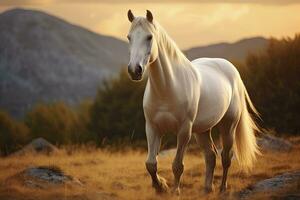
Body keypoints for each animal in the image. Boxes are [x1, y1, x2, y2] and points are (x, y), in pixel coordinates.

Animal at [126, 10, 260, 195]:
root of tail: (232, 69)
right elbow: (151, 164)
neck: (168, 88)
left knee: (226, 157)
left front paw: (175, 191)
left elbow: (177, 165)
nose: (134, 70)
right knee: (211, 156)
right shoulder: (153, 128)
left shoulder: (184, 130)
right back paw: (207, 189)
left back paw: (222, 189)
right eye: (129, 37)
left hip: (228, 125)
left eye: (149, 37)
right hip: (202, 130)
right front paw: (160, 187)